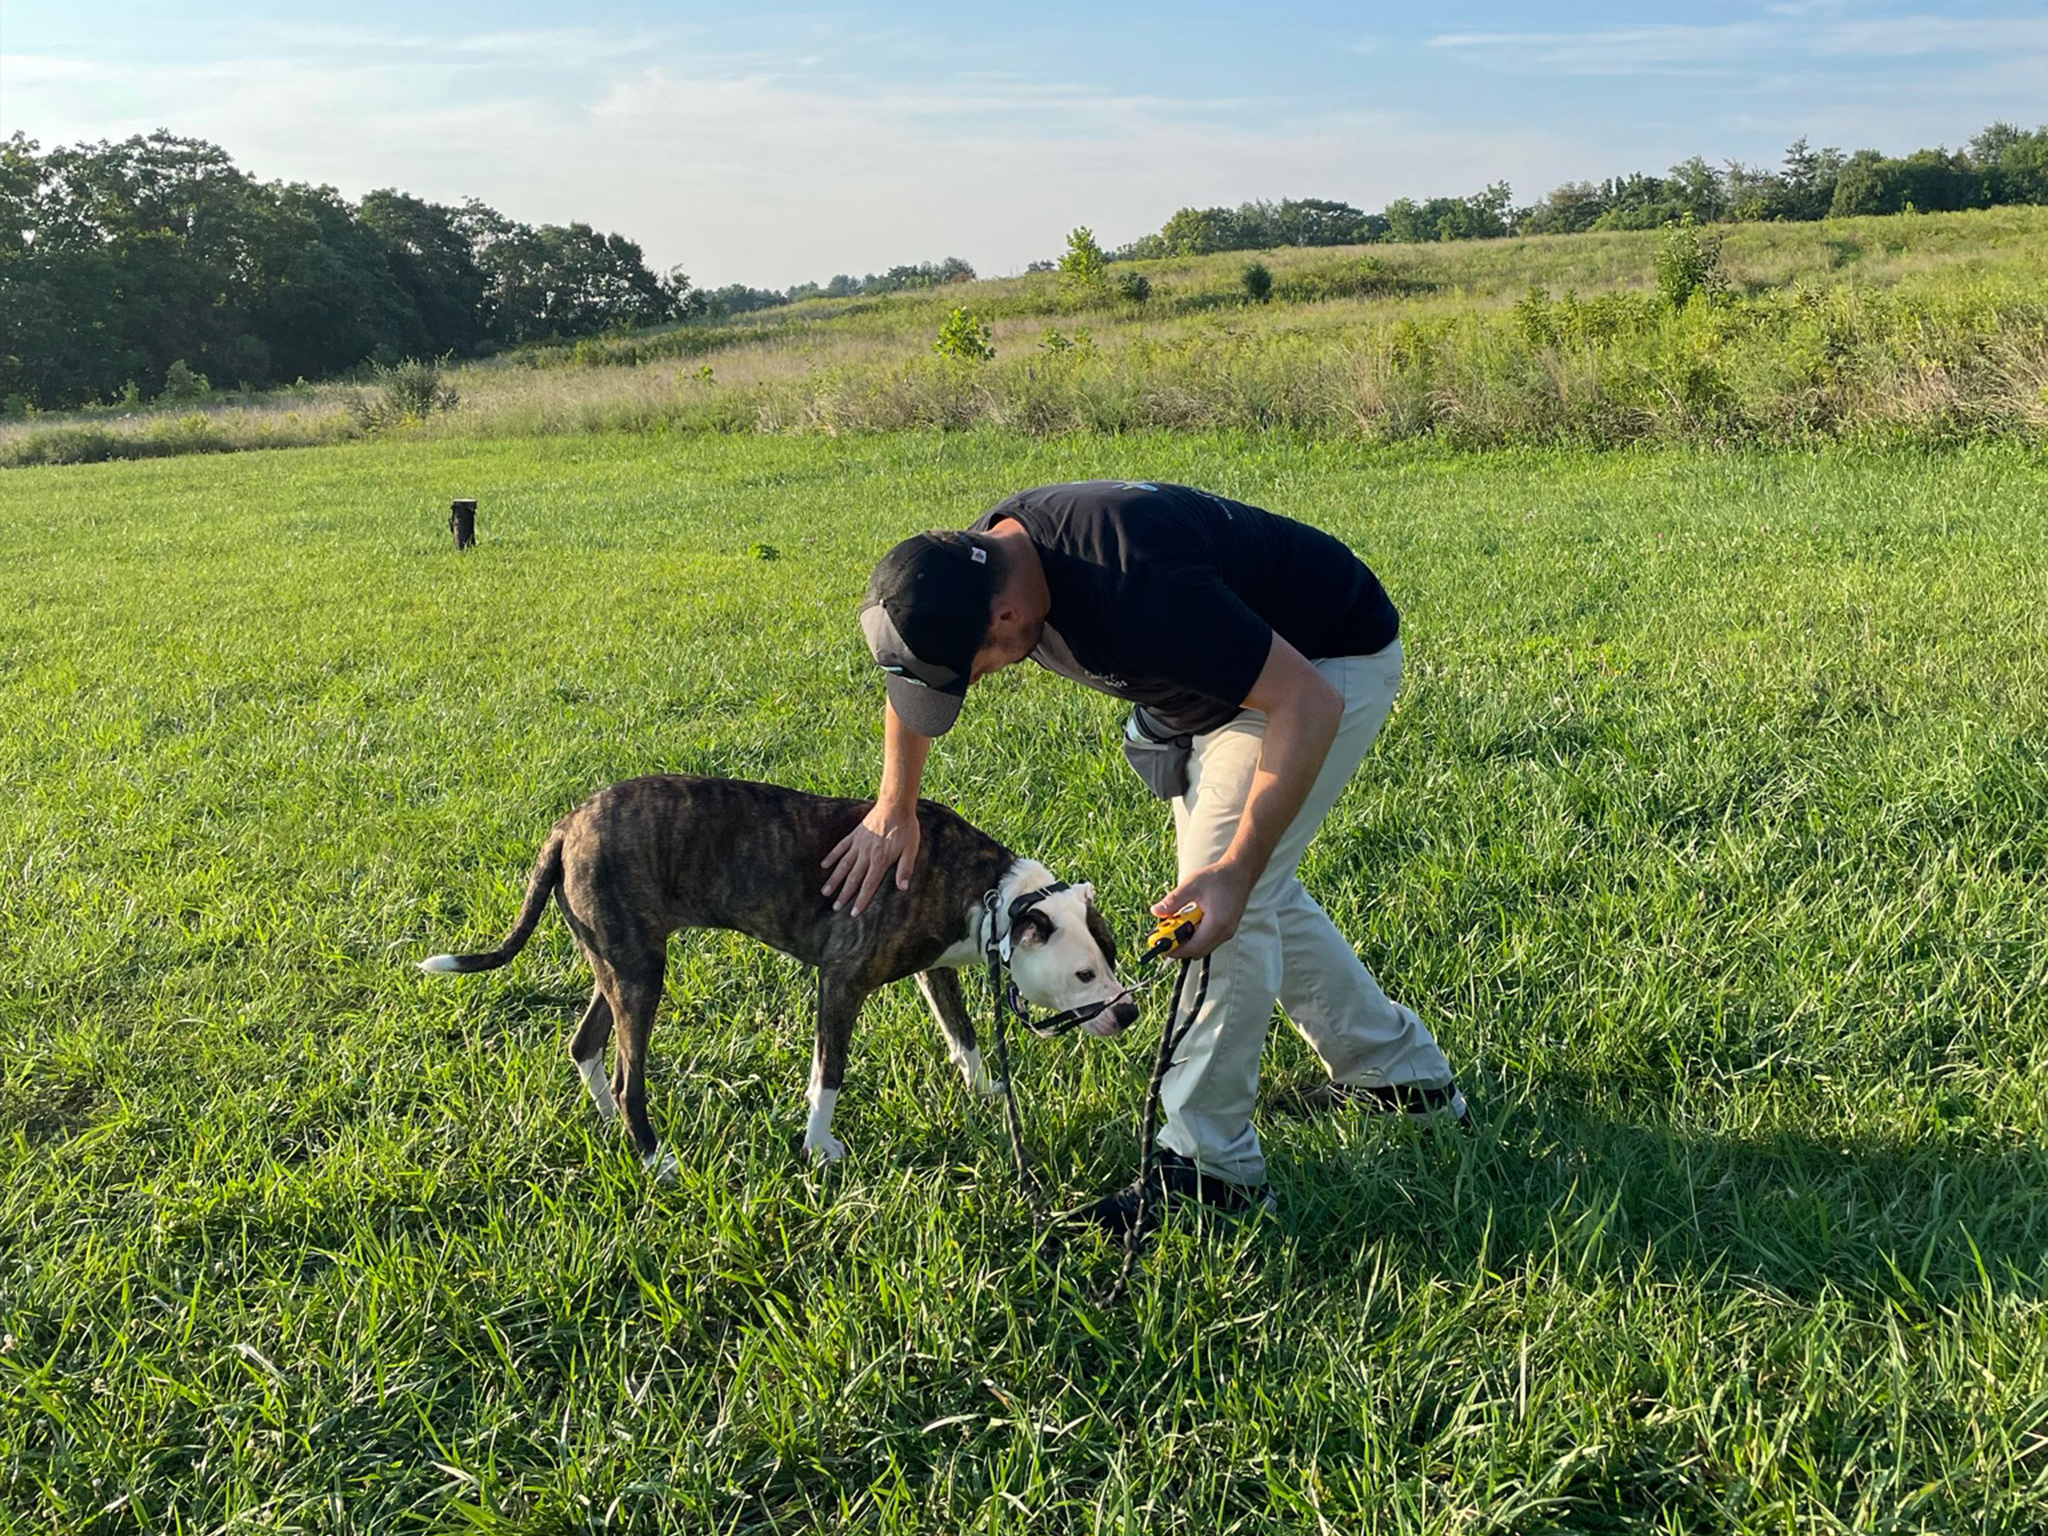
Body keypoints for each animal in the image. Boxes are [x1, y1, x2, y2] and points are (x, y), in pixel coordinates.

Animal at [417, 774, 1138, 1187]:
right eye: (1083, 973)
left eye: (1112, 953)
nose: (1129, 1012)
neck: (987, 889)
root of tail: (567, 826)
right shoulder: (841, 984)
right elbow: (830, 1075)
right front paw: (818, 1148)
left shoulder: (937, 973)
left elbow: (963, 1038)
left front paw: (988, 1093)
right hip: (640, 972)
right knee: (627, 1078)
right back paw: (655, 1159)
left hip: (618, 961)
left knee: (586, 1045)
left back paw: (611, 1128)